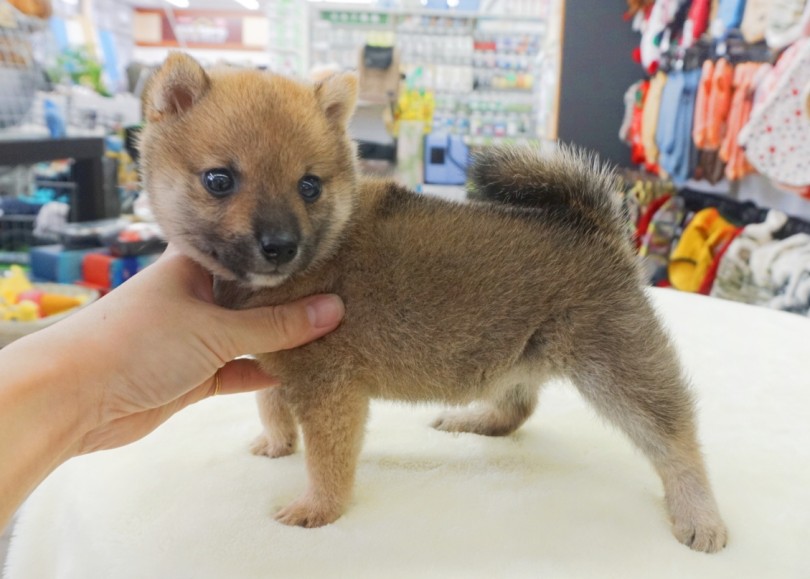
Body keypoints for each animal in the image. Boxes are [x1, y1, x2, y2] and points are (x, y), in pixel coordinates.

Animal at [139, 53, 724, 552]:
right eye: (219, 180)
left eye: (309, 186)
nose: (281, 244)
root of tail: (599, 229)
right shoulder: (277, 362)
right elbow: (269, 405)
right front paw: (276, 445)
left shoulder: (329, 389)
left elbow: (328, 460)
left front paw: (318, 509)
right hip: (520, 354)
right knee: (518, 406)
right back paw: (476, 422)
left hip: (617, 364)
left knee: (675, 440)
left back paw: (699, 513)